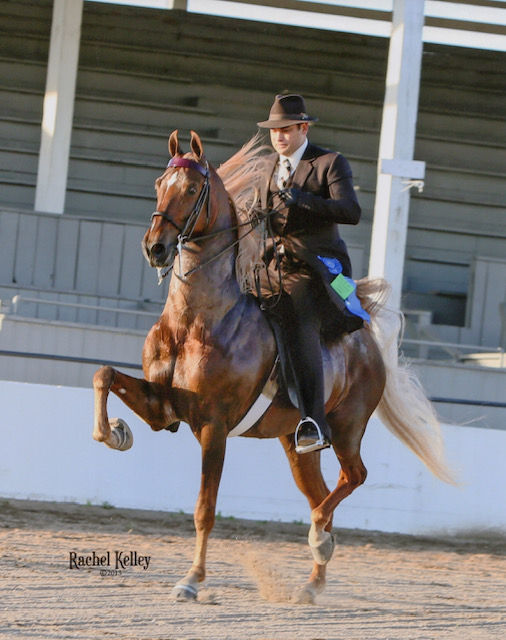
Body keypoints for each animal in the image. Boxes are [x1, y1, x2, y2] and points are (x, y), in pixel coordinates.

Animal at [92, 130, 454, 603]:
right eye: (158, 184)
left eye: (190, 189)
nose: (155, 248)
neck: (195, 321)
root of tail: (369, 342)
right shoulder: (162, 407)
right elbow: (103, 375)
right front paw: (116, 432)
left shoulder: (213, 427)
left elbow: (205, 508)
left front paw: (192, 580)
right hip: (295, 444)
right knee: (321, 493)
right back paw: (312, 583)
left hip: (347, 428)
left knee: (351, 478)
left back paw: (318, 539)